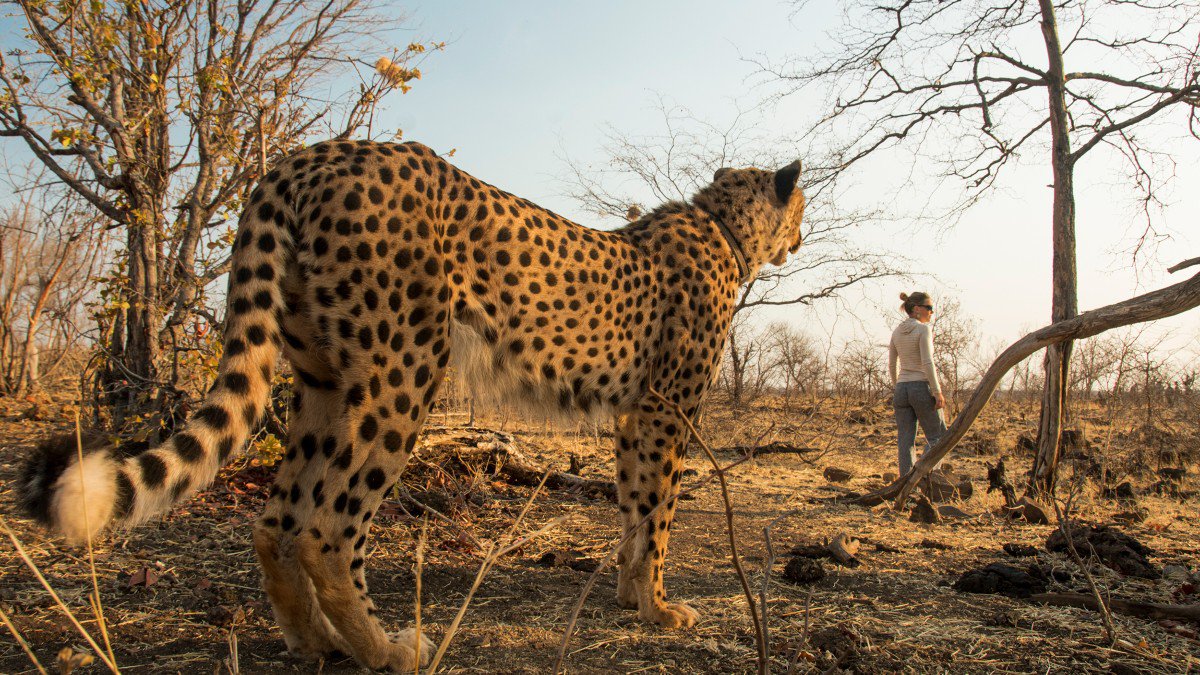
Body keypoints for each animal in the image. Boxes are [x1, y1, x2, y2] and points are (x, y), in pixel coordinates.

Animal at [18, 139, 806, 667]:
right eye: (801, 206)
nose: (802, 234)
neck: (723, 228)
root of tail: (314, 153)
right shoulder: (669, 409)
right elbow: (659, 513)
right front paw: (660, 607)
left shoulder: (635, 412)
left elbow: (633, 506)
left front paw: (628, 595)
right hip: (406, 372)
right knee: (326, 527)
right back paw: (387, 650)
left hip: (325, 381)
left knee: (276, 520)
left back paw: (318, 643)